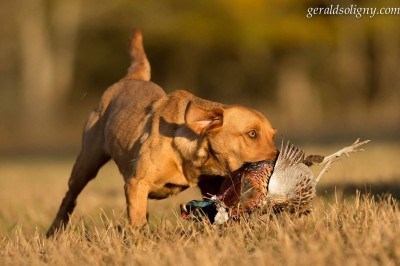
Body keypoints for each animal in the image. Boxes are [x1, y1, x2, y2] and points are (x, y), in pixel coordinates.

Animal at [47, 29, 276, 237]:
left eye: (273, 135)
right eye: (252, 134)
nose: (277, 157)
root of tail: (131, 77)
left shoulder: (211, 185)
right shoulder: (136, 183)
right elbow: (138, 220)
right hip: (87, 162)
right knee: (70, 197)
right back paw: (54, 231)